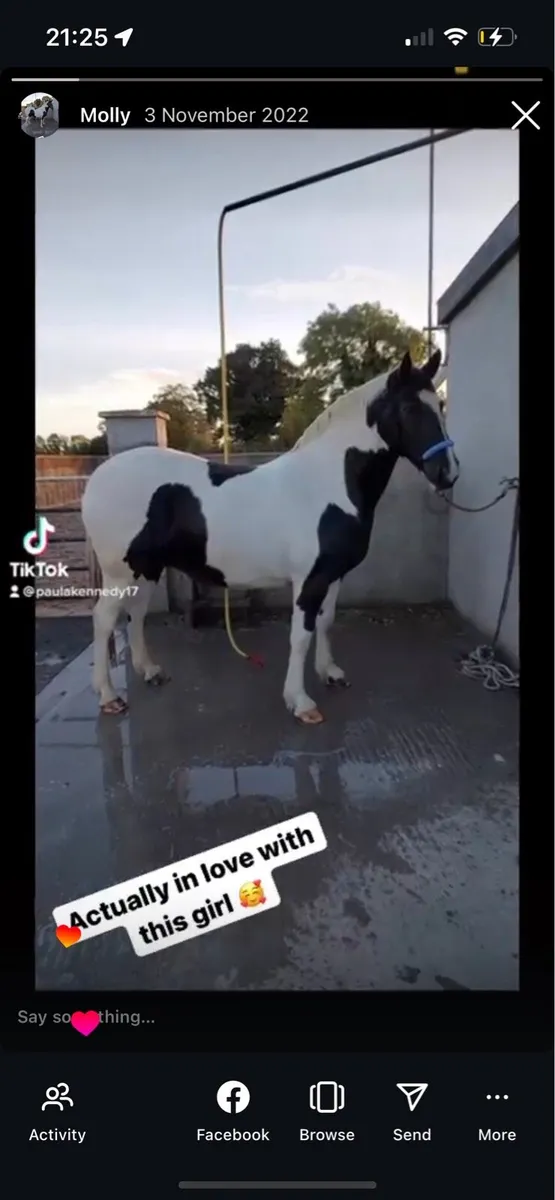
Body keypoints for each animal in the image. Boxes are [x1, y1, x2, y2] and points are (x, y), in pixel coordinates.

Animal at [82, 349, 458, 724]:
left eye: (439, 405)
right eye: (409, 408)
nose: (447, 473)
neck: (328, 483)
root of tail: (96, 478)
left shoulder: (333, 575)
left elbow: (326, 622)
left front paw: (330, 673)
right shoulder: (308, 580)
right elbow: (300, 636)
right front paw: (300, 701)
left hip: (147, 567)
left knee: (137, 611)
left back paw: (150, 671)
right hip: (122, 571)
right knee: (103, 620)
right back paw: (108, 695)